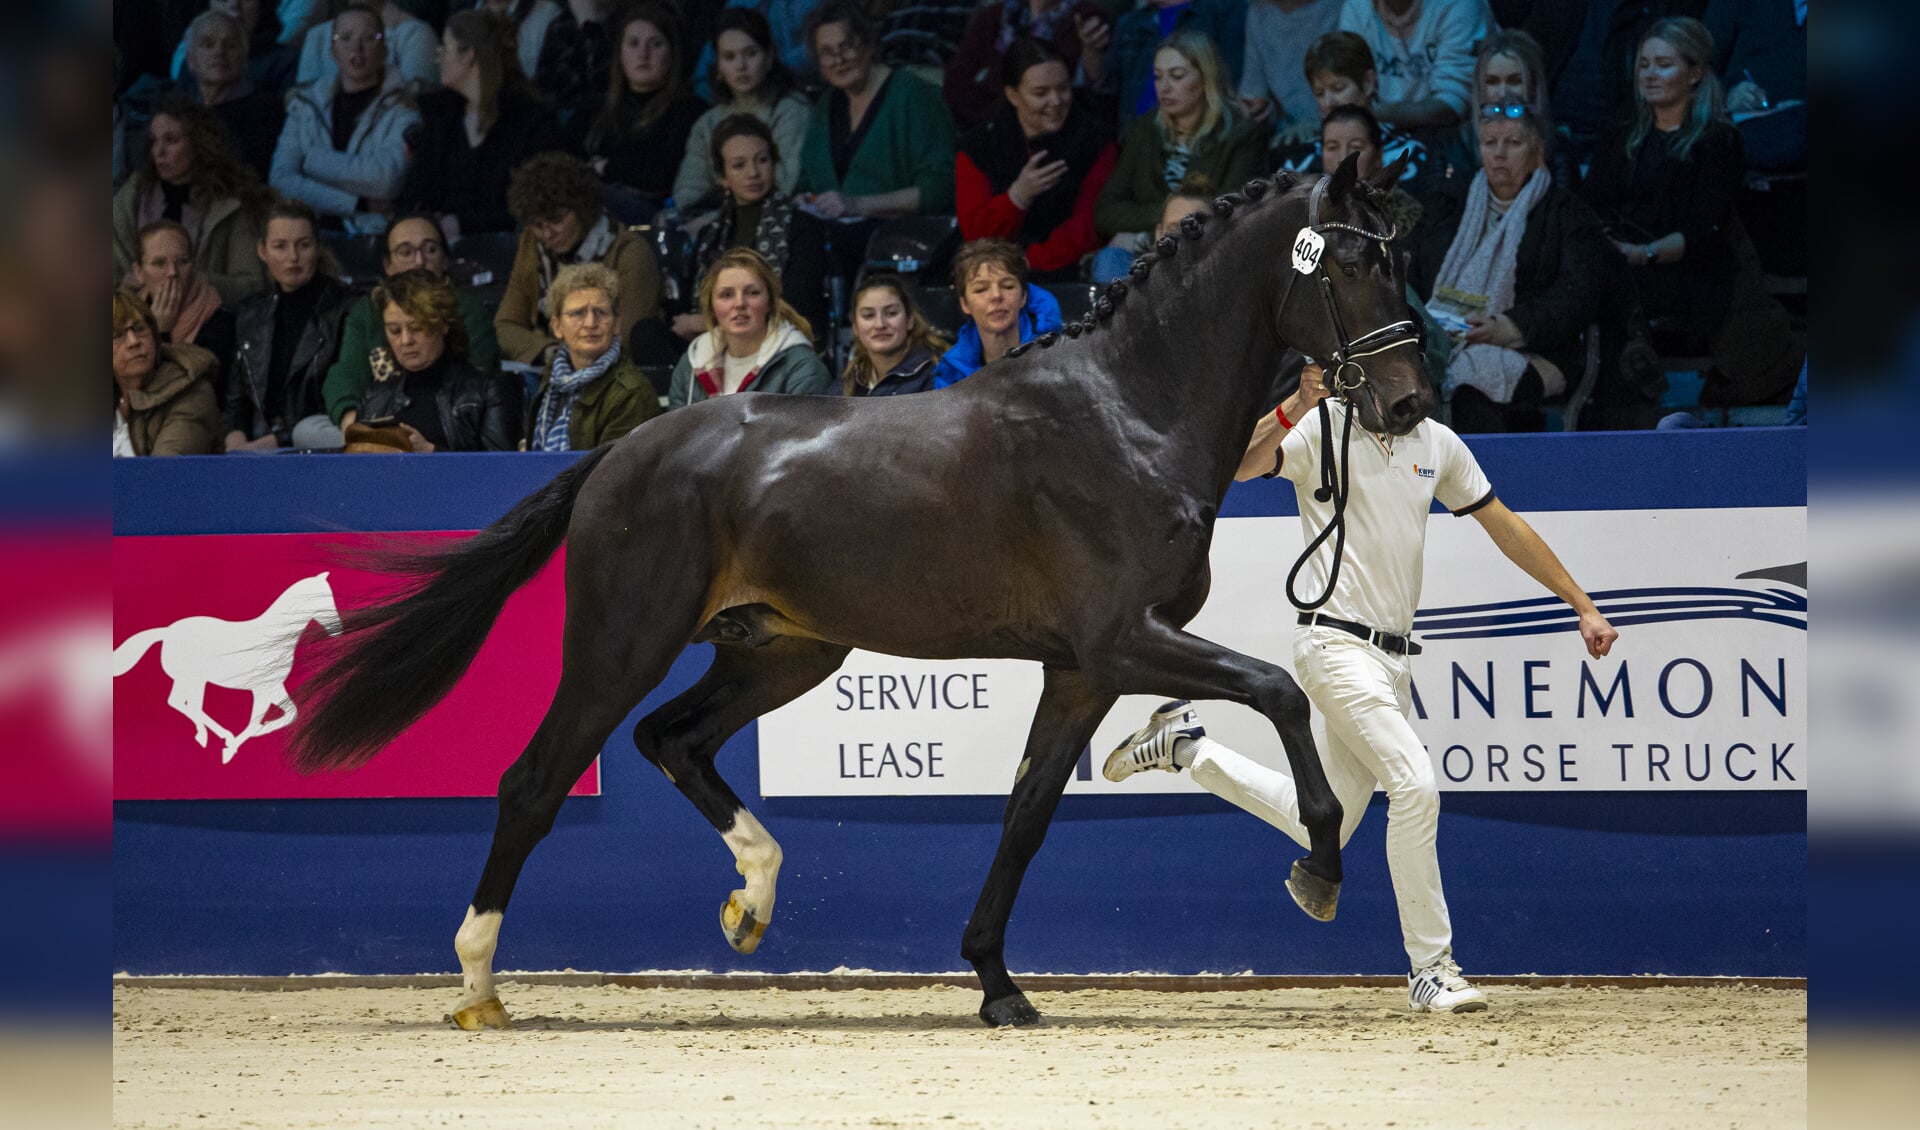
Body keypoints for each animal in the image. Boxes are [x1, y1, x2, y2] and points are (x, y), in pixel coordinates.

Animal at [284, 154, 1428, 1028]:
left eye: (1399, 255)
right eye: (1354, 264)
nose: (1410, 402)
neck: (1126, 415)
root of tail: (620, 453)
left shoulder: (1078, 669)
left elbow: (1027, 811)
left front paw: (997, 984)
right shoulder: (1122, 640)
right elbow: (1278, 692)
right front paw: (1321, 871)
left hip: (783, 648)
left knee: (672, 740)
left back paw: (750, 900)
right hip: (625, 642)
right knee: (537, 779)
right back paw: (480, 983)